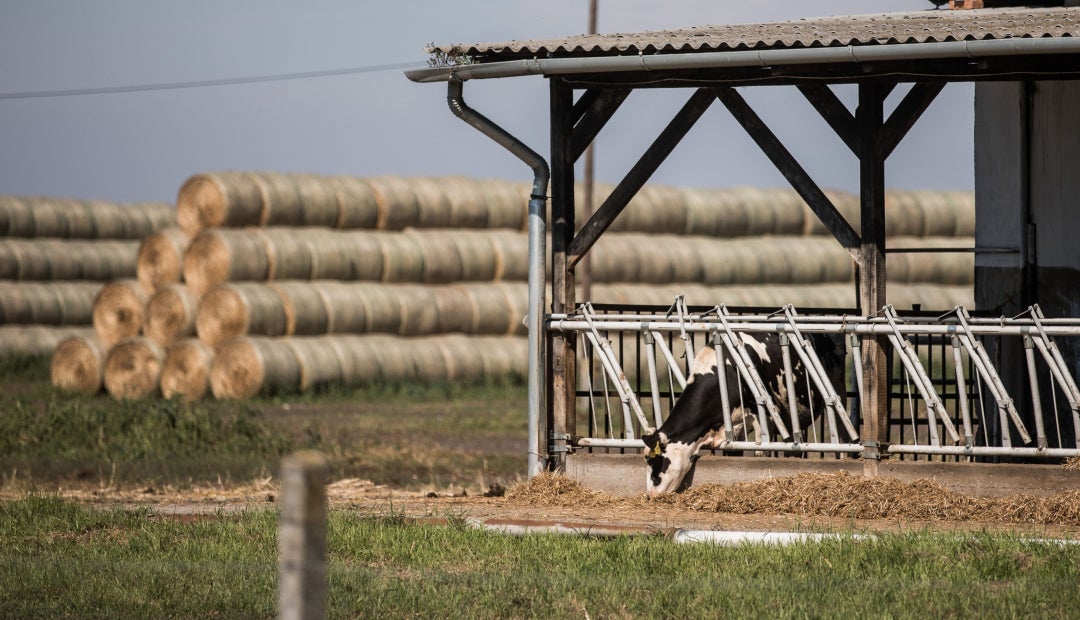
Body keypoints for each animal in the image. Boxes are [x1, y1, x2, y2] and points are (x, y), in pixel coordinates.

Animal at [635, 330, 846, 501]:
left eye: (656, 461)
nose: (650, 494)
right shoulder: (733, 428)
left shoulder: (763, 418)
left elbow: (762, 453)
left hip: (837, 392)